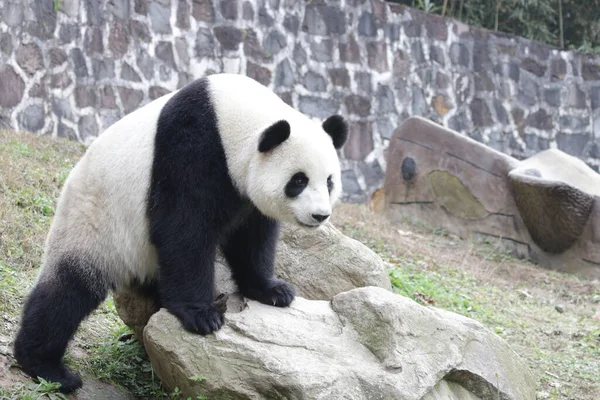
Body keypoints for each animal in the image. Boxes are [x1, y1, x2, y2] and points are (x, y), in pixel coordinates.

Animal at [12, 73, 346, 392]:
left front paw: (272, 290)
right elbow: (184, 230)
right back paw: (47, 368)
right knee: (66, 293)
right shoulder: (190, 147)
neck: (232, 117)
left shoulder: (242, 191)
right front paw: (202, 315)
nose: (320, 215)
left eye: (329, 181)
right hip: (94, 225)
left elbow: (252, 238)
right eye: (299, 180)